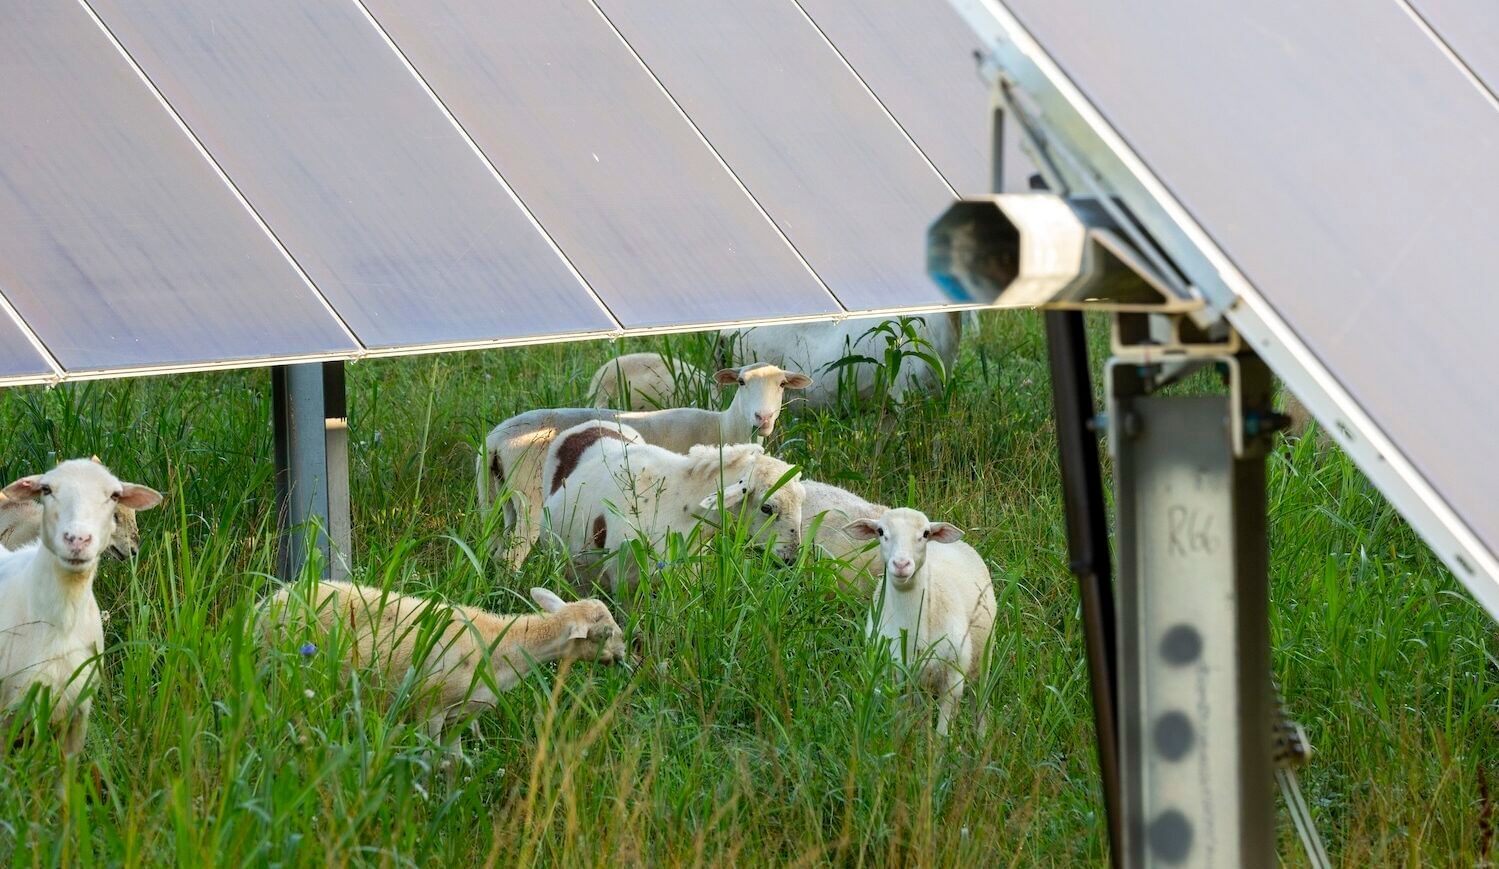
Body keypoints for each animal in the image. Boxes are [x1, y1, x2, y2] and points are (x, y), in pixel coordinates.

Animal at [259, 581, 625, 748]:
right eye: (605, 633)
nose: (624, 655)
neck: (501, 646)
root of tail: (272, 598)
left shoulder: (460, 718)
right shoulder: (430, 709)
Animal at [477, 362, 811, 568]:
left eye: (782, 384)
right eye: (741, 382)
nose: (763, 418)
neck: (723, 427)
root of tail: (495, 439)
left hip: (500, 499)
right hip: (530, 500)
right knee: (512, 554)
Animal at [845, 508, 996, 736]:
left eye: (925, 533)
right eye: (880, 531)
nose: (901, 564)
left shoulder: (953, 679)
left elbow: (943, 734)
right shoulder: (895, 677)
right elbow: (901, 724)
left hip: (984, 657)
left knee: (979, 702)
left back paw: (980, 738)